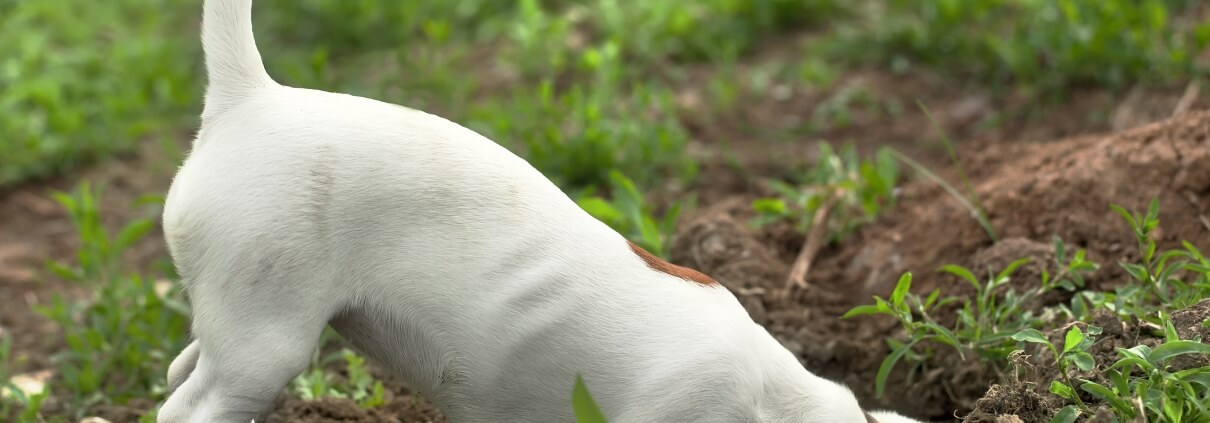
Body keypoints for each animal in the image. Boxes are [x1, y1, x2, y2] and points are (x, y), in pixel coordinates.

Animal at [153, 1, 924, 420]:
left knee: (179, 371)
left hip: (242, 328)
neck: (775, 403)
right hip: (264, 347)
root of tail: (250, 97)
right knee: (183, 407)